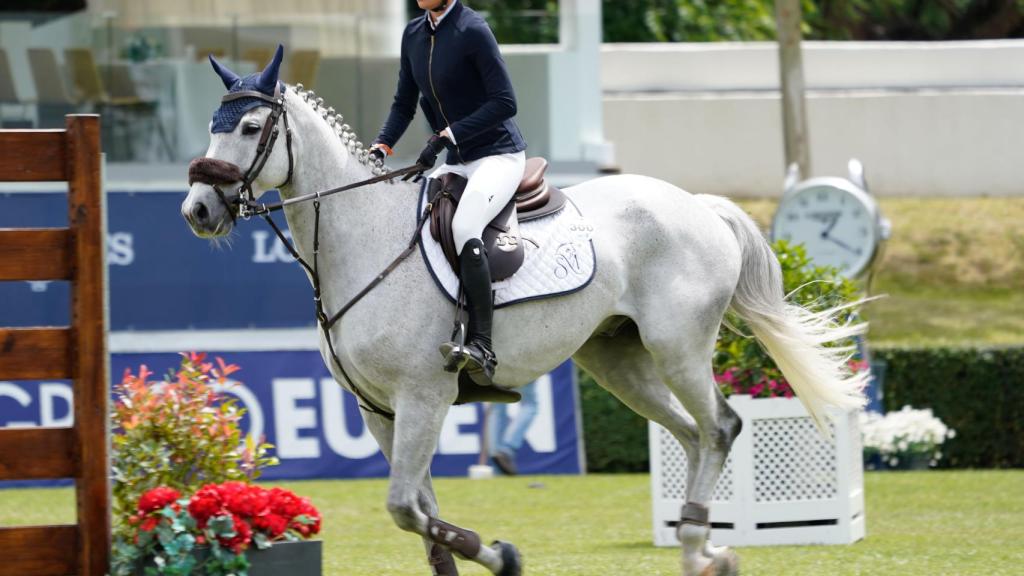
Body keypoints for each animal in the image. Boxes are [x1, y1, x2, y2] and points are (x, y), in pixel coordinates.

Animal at [182, 49, 864, 573]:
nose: (197, 210)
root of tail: (698, 204)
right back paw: (700, 549)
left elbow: (405, 508)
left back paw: (701, 545)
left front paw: (503, 555)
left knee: (720, 426)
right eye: (212, 124)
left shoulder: (424, 397)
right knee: (693, 433)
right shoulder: (378, 411)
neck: (362, 237)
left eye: (250, 129)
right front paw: (480, 553)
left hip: (679, 348)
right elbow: (423, 520)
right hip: (617, 361)